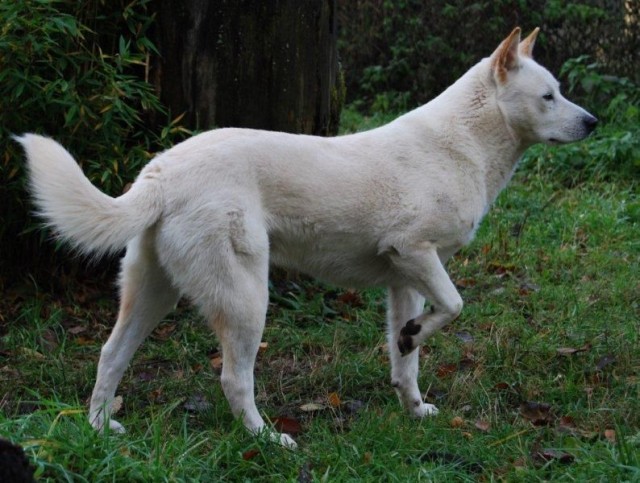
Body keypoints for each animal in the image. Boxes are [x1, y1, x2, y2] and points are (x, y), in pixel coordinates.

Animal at [17, 28, 596, 448]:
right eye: (548, 97)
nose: (592, 123)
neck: (464, 143)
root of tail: (161, 173)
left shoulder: (405, 279)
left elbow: (406, 360)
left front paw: (414, 403)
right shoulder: (415, 252)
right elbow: (455, 305)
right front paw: (417, 340)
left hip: (152, 292)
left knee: (111, 356)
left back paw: (99, 428)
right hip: (247, 299)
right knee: (233, 380)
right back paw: (268, 440)